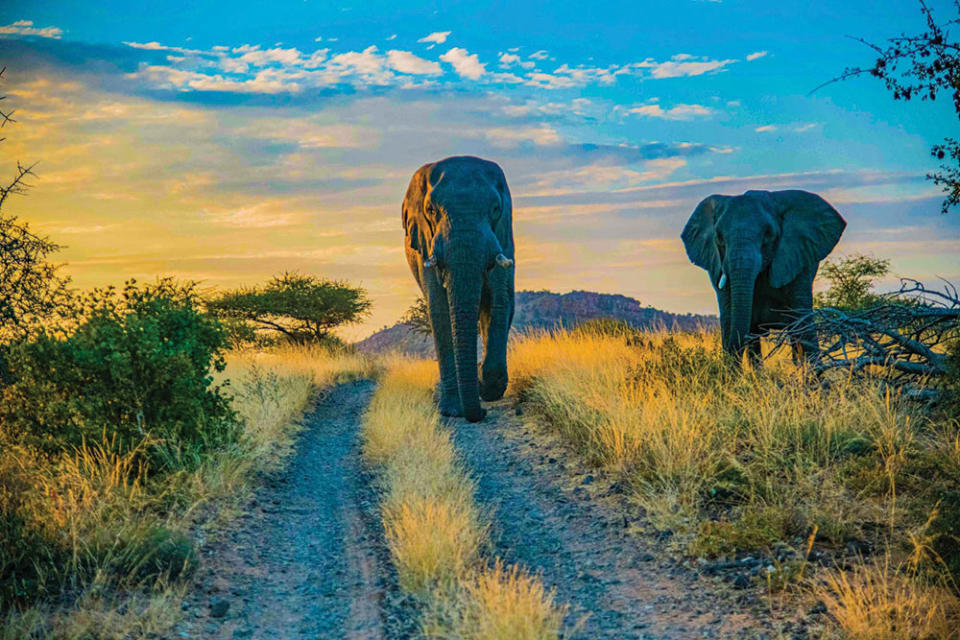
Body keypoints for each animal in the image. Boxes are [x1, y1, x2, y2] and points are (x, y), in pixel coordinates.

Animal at [402, 156, 512, 422]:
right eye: (431, 210)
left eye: (496, 208)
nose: (481, 412)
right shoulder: (426, 243)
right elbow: (439, 309)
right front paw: (453, 410)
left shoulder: (503, 235)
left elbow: (499, 300)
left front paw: (486, 387)